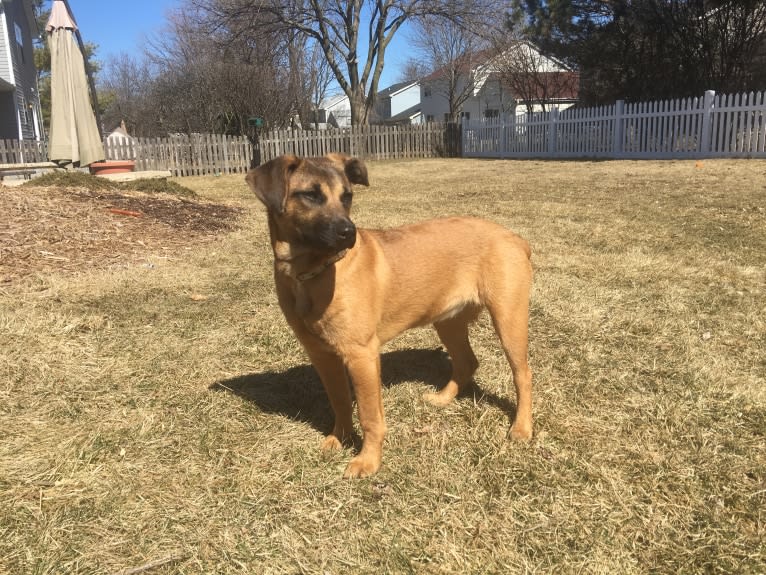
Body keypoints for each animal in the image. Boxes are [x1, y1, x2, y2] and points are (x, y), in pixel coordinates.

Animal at [246, 152, 536, 476]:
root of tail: (515, 238)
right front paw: (339, 438)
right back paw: (443, 399)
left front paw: (368, 460)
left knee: (523, 374)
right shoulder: (322, 354)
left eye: (347, 196)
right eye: (310, 194)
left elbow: (370, 416)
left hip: (509, 317)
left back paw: (522, 428)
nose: (349, 233)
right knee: (467, 362)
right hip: (448, 321)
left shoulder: (361, 354)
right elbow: (340, 401)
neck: (309, 273)